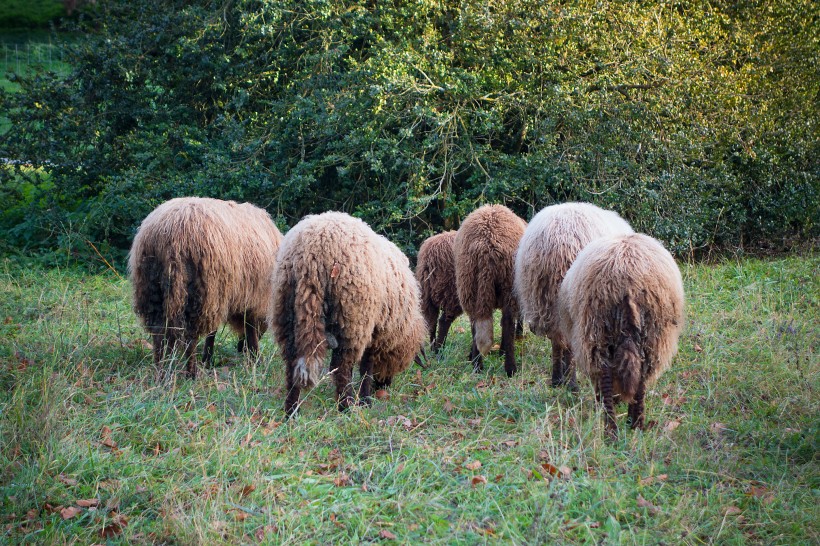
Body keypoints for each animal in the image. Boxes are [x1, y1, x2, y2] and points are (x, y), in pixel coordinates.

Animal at [127, 197, 282, 378]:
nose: (240, 348)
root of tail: (170, 233)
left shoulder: (223, 298)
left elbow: (213, 332)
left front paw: (208, 359)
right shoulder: (249, 296)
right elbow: (248, 328)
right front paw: (256, 358)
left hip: (152, 292)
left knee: (159, 334)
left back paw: (162, 370)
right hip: (198, 293)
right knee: (189, 338)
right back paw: (191, 373)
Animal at [452, 203, 528, 374]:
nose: (521, 334)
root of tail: (487, 246)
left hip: (468, 284)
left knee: (476, 323)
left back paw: (477, 365)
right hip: (509, 285)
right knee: (507, 322)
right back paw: (509, 367)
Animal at [512, 201, 636, 386]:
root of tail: (558, 243)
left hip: (544, 297)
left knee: (557, 339)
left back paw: (557, 379)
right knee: (567, 342)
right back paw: (572, 384)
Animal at [556, 233, 684, 434]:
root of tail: (629, 282)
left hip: (596, 332)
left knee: (606, 378)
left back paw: (610, 429)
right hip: (652, 336)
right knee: (640, 378)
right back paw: (636, 424)